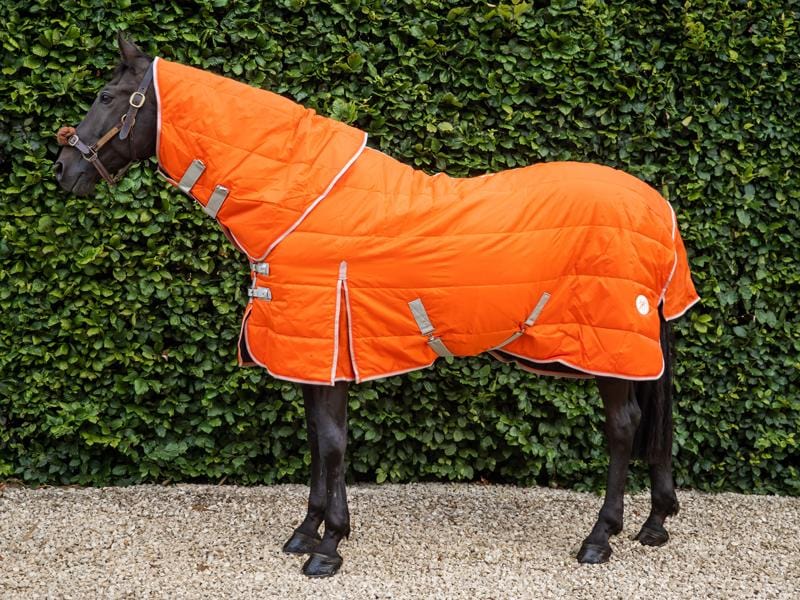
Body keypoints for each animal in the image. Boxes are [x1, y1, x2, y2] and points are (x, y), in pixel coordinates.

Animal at [54, 35, 698, 578]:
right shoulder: (315, 354)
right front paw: (307, 533)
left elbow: (333, 442)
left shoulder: (328, 343)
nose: (63, 170)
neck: (303, 206)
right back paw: (654, 524)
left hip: (609, 346)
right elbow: (318, 441)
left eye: (108, 97)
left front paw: (328, 548)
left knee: (624, 428)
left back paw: (600, 537)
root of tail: (658, 206)